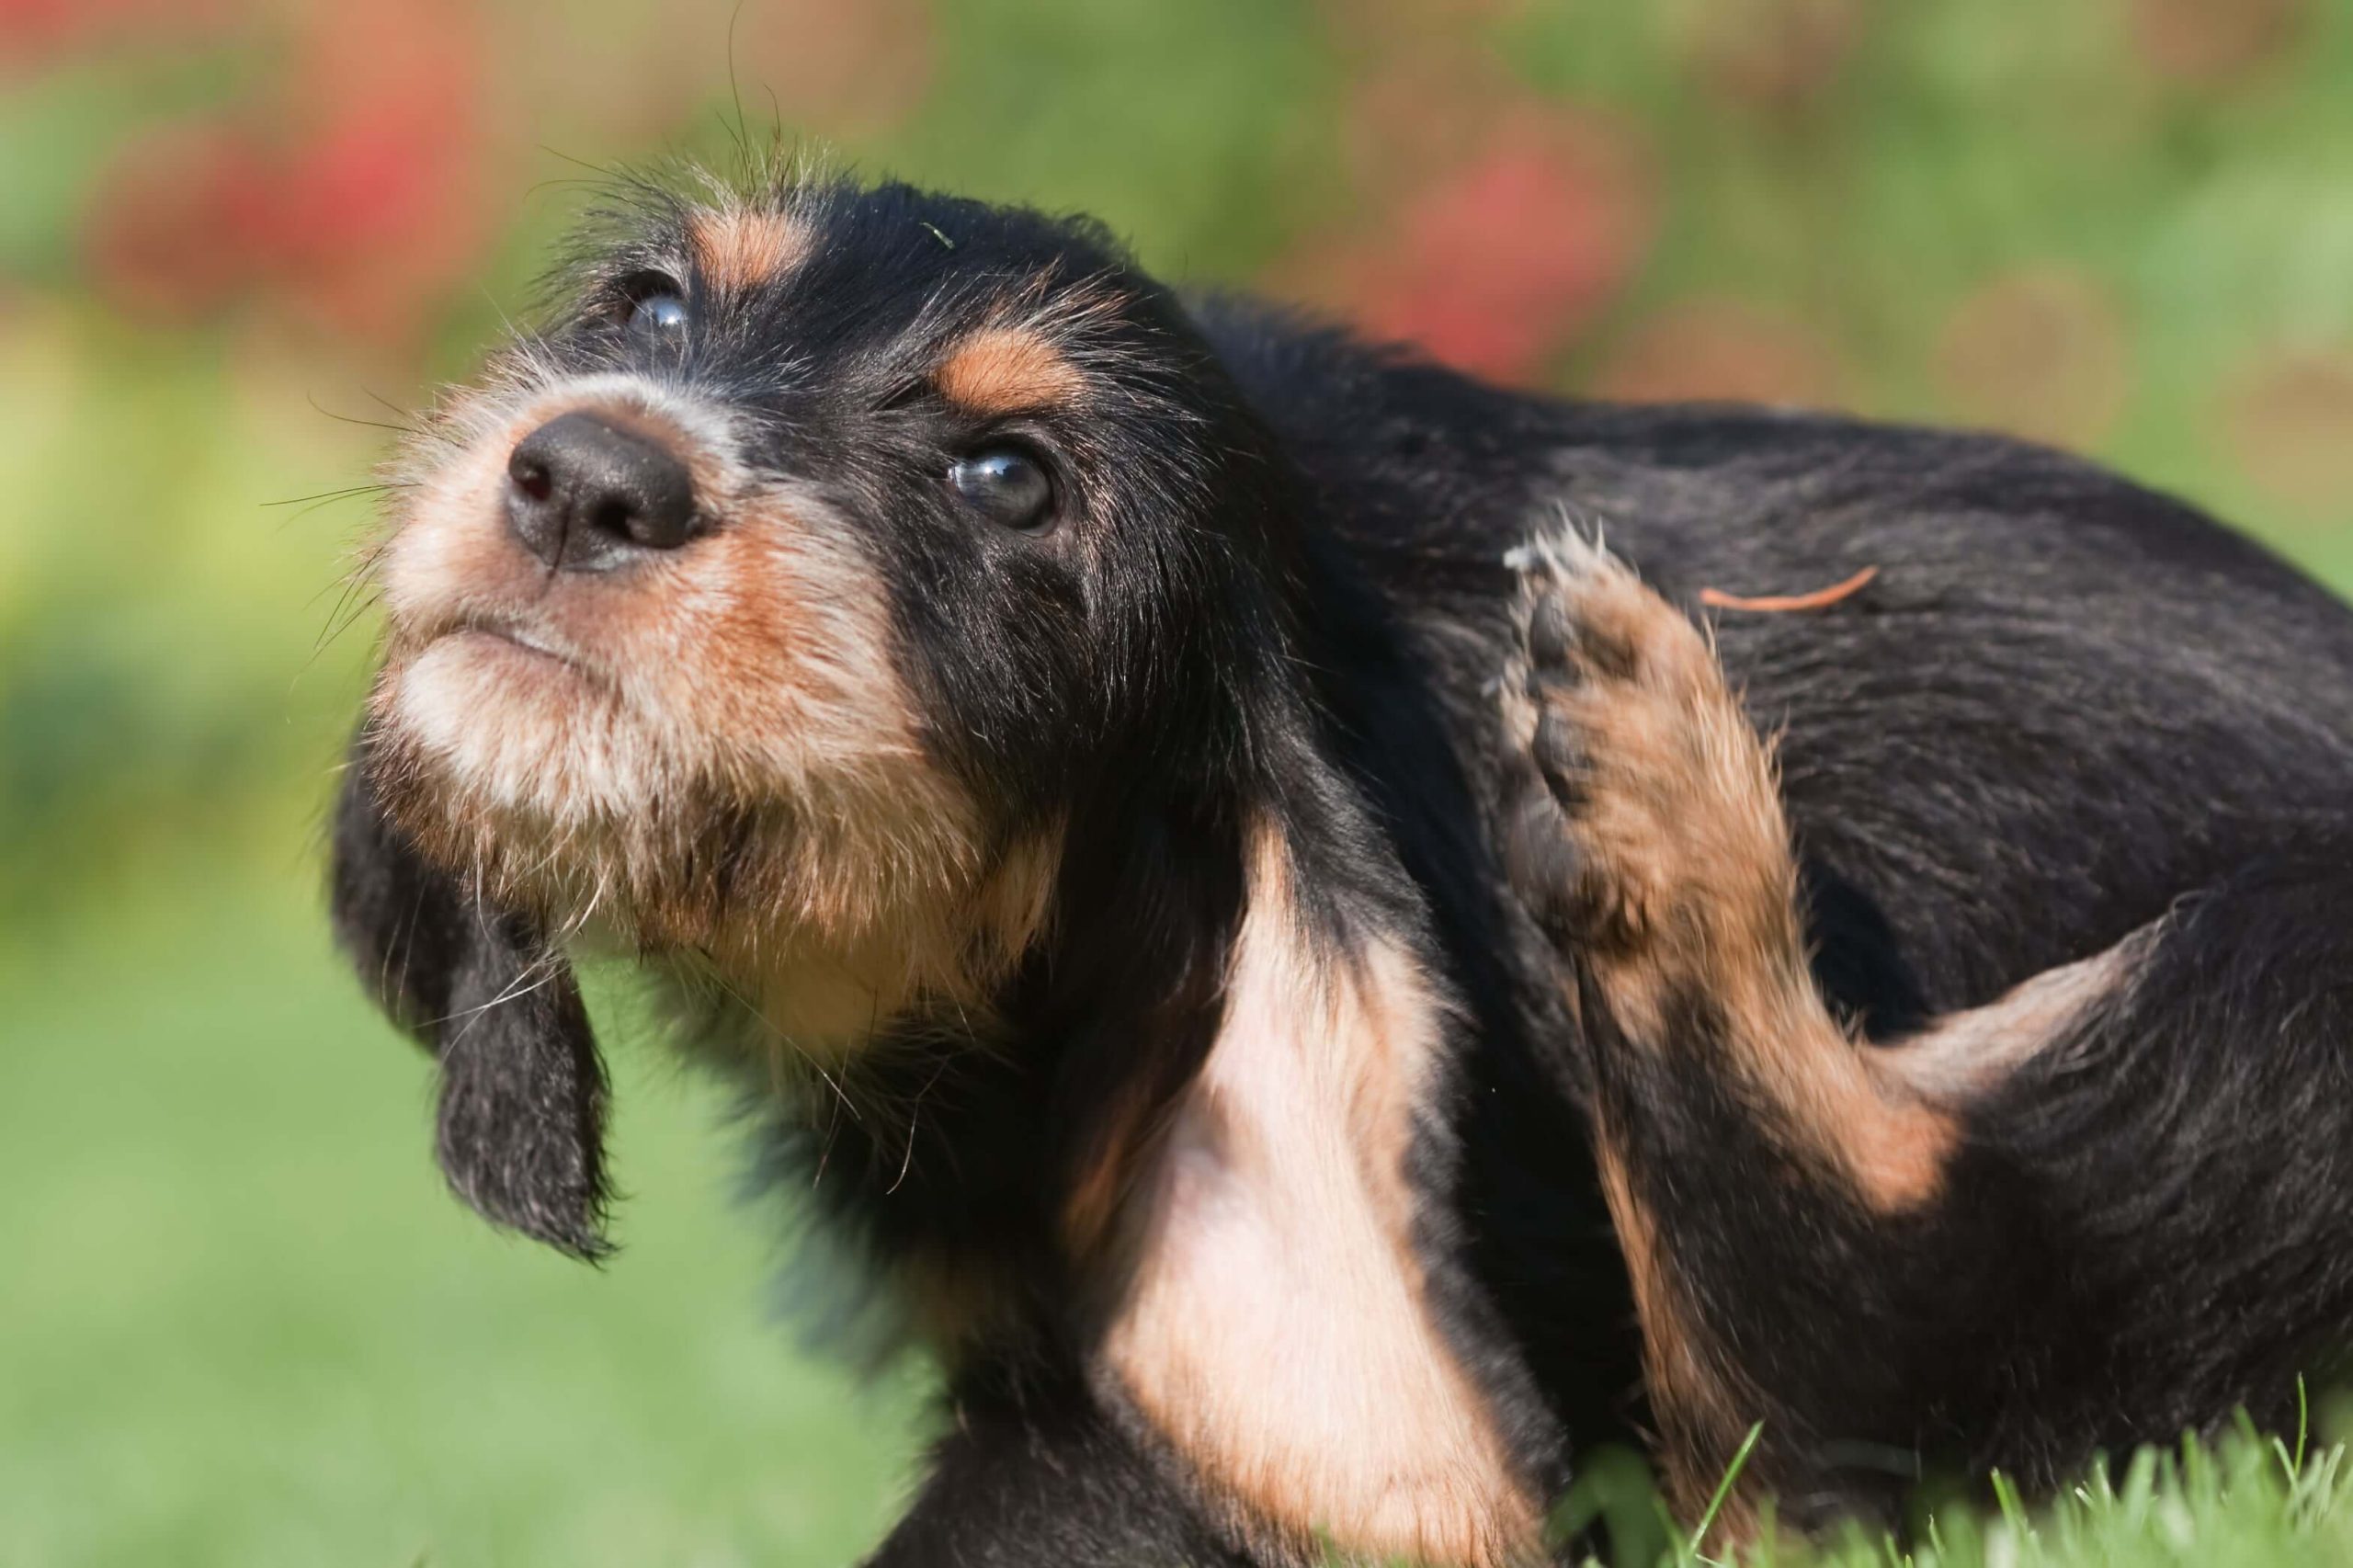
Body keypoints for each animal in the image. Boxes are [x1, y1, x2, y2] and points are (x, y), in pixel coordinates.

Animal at [336, 170, 2353, 1562]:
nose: (585, 474)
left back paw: (1657, 797)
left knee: (1865, 1375)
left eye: (1011, 481)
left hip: (2273, 989)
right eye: (652, 304)